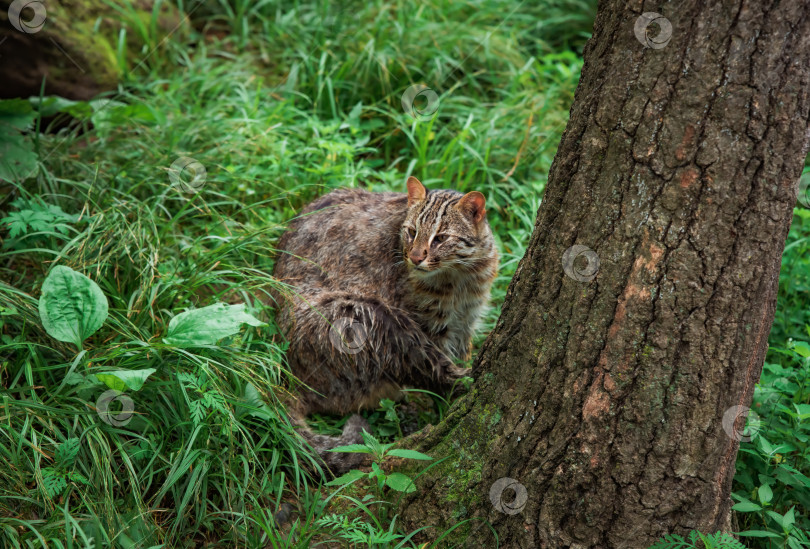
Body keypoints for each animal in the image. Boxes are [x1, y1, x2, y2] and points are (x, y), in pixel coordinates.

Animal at [274, 176, 498, 470]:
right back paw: (461, 381)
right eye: (411, 232)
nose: (415, 257)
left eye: (441, 238)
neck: (462, 275)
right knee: (424, 366)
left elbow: (461, 350)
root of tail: (291, 374)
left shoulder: (467, 320)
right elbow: (439, 362)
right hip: (368, 317)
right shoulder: (428, 323)